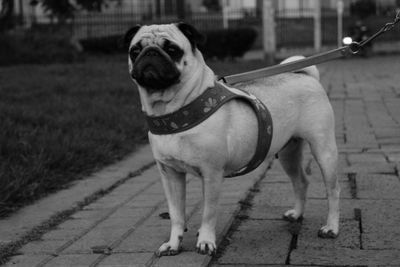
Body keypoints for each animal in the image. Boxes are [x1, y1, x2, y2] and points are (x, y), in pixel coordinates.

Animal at [123, 23, 340, 258]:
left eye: (172, 50)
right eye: (135, 51)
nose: (150, 53)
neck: (172, 111)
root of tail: (305, 76)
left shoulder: (211, 174)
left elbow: (208, 213)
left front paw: (206, 242)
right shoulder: (170, 175)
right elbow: (176, 214)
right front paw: (174, 244)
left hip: (324, 150)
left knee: (333, 189)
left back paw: (331, 228)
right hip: (288, 153)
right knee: (301, 181)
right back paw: (297, 214)